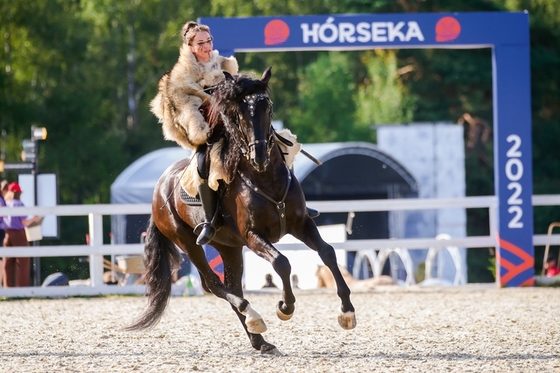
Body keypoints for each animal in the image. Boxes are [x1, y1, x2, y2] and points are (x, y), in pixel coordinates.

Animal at [125, 67, 356, 354]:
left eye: (267, 106)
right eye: (238, 112)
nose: (259, 156)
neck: (265, 178)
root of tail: (159, 186)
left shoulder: (302, 224)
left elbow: (328, 252)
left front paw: (347, 311)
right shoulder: (253, 236)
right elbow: (281, 262)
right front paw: (285, 307)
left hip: (229, 247)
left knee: (231, 285)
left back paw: (259, 337)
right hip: (187, 241)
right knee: (214, 284)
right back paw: (253, 315)